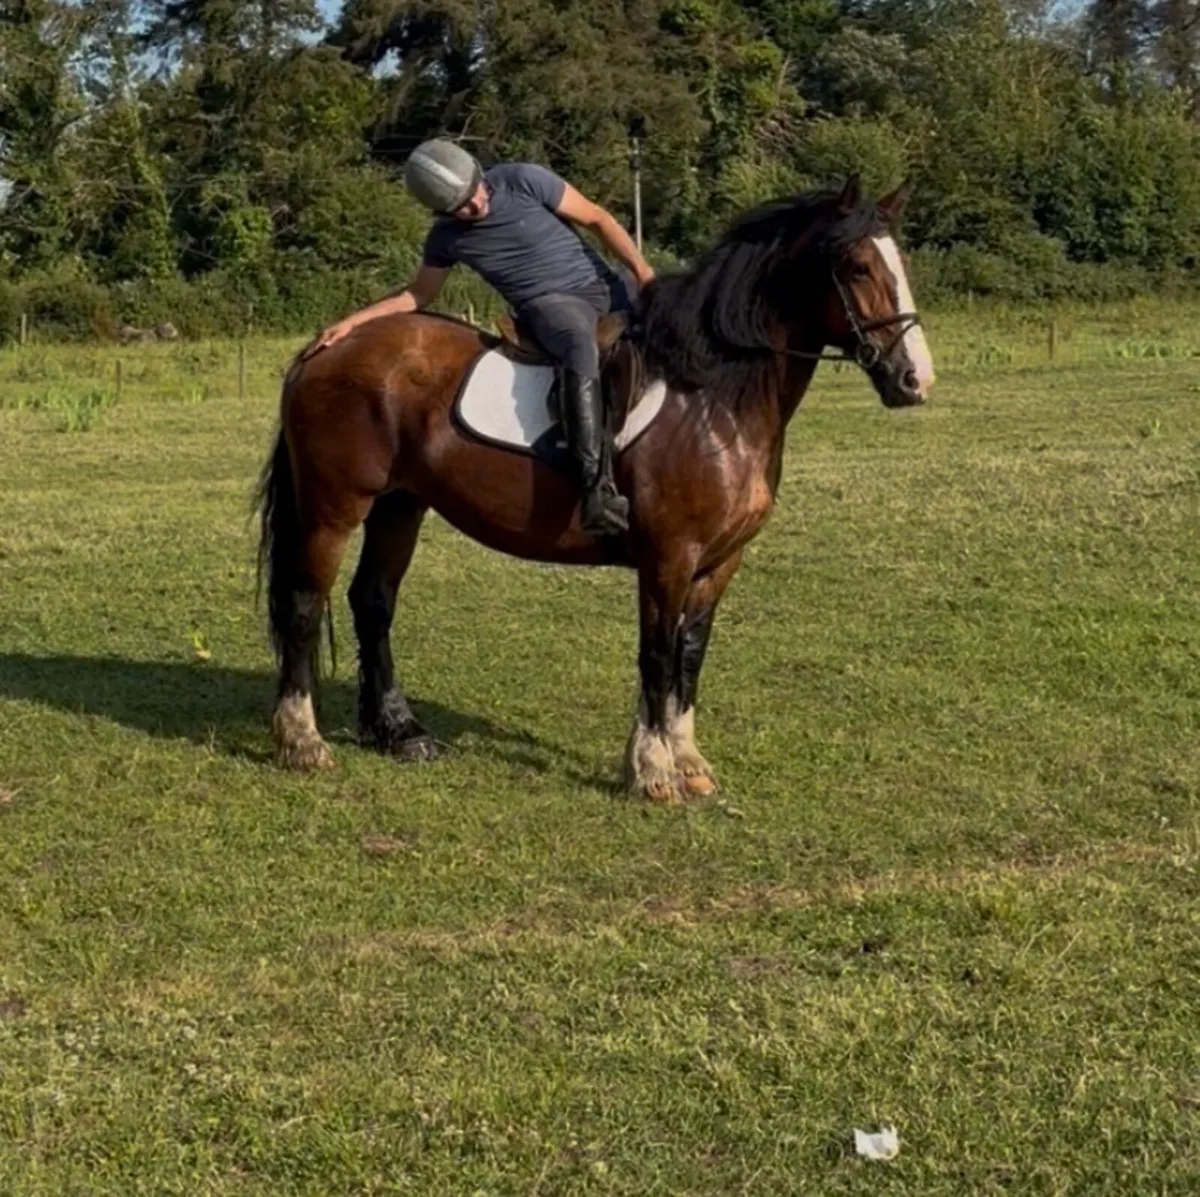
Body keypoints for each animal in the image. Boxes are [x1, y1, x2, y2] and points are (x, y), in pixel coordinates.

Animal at [255, 177, 935, 801]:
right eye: (856, 266)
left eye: (900, 263)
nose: (914, 379)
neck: (711, 398)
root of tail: (326, 348)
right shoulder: (668, 557)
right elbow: (656, 655)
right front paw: (653, 770)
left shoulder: (720, 562)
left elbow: (690, 653)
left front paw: (687, 762)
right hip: (333, 508)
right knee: (305, 604)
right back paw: (303, 740)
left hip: (401, 506)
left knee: (372, 602)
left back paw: (398, 732)